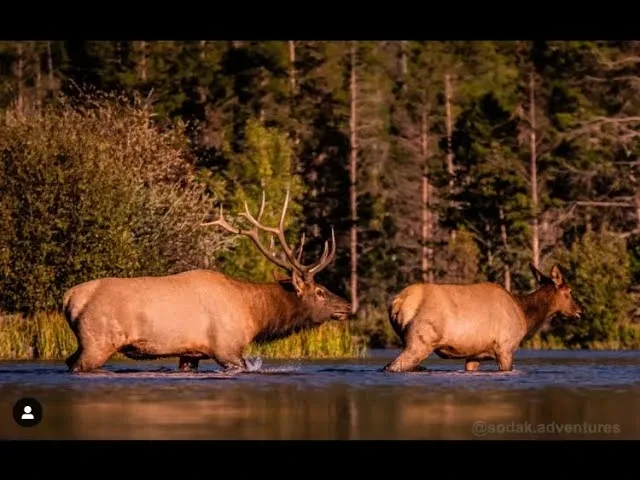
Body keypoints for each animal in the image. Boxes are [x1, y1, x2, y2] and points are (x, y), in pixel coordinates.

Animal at [62, 188, 352, 373]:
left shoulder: (191, 353)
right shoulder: (227, 349)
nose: (347, 305)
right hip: (98, 342)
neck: (255, 315)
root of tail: (68, 298)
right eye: (320, 291)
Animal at [383, 263, 583, 373]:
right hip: (420, 342)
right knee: (393, 366)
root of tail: (397, 303)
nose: (580, 311)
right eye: (570, 291)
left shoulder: (475, 355)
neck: (525, 315)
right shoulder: (505, 348)